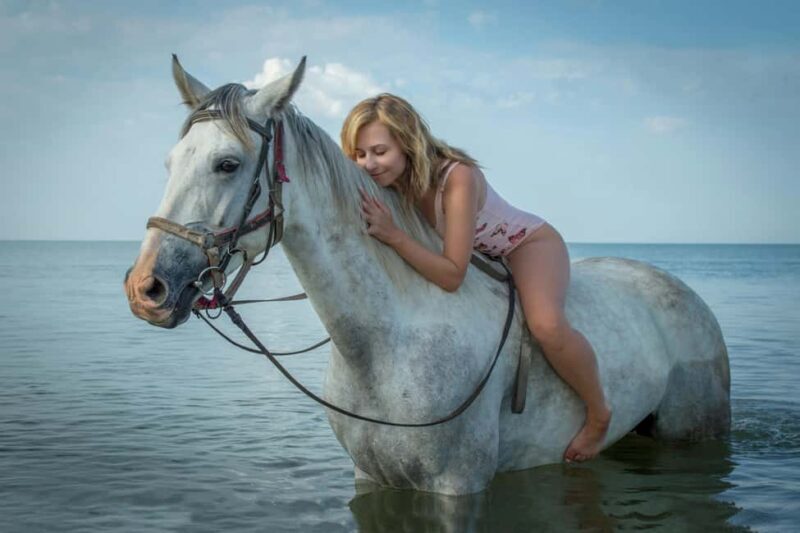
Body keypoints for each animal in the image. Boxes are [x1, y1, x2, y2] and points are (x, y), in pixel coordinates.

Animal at [124, 56, 731, 495]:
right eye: (171, 162)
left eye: (227, 163)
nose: (146, 289)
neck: (385, 344)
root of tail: (680, 289)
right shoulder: (371, 479)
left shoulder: (457, 488)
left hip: (692, 432)